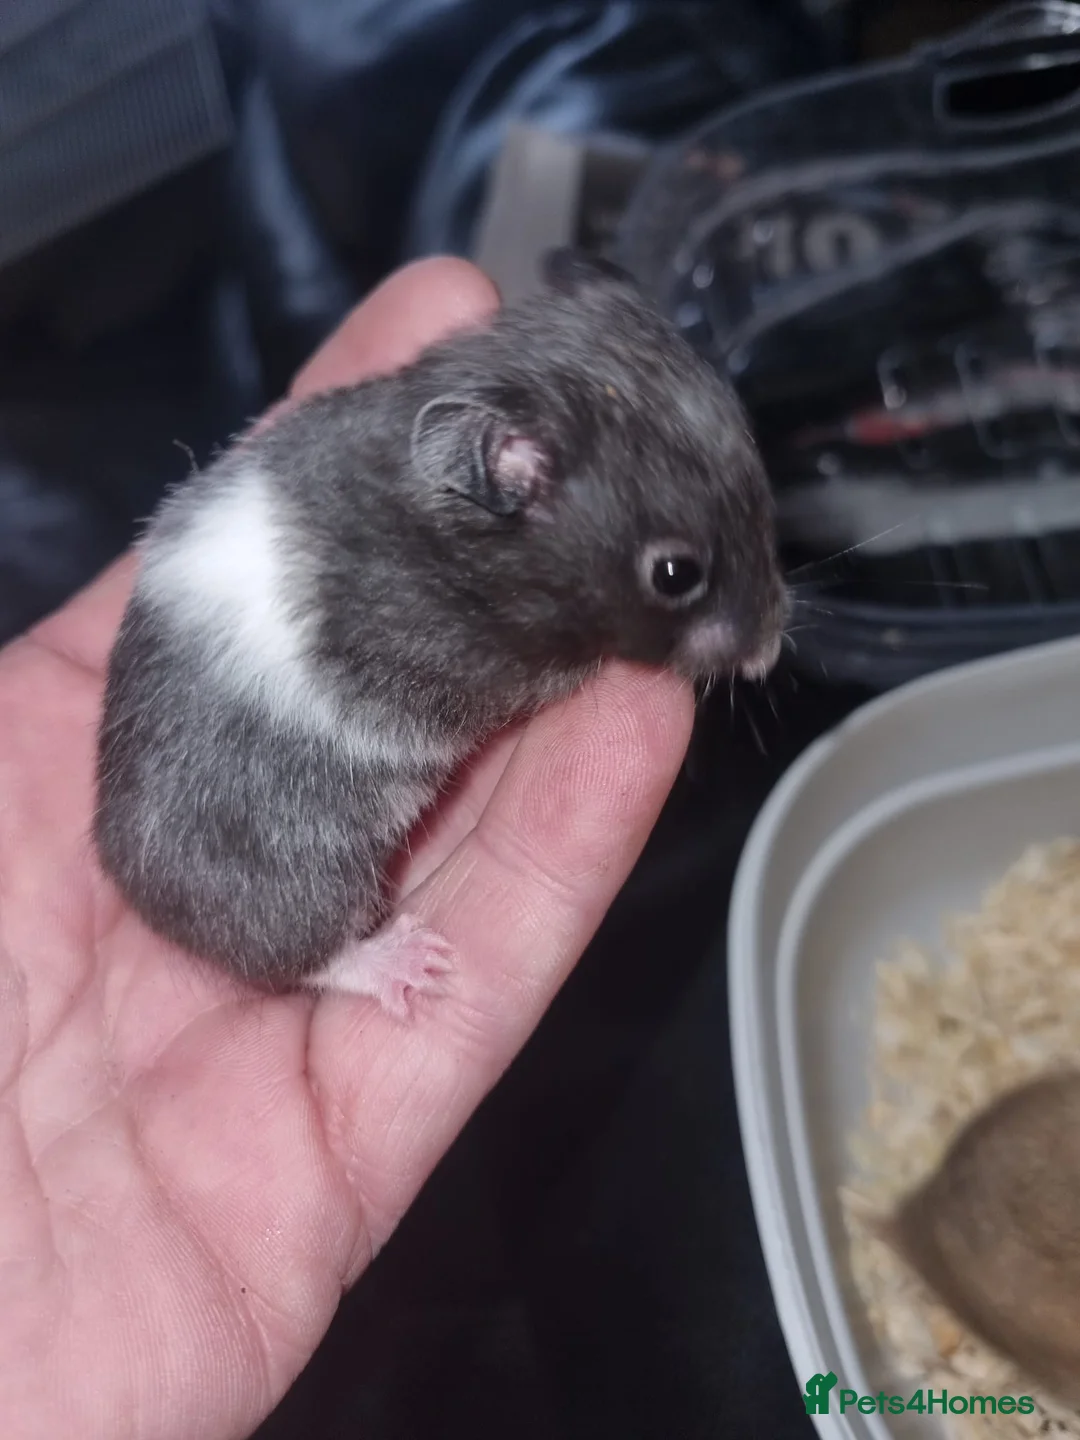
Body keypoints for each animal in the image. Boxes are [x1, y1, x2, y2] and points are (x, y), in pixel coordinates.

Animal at [93, 247, 788, 1017]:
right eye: (674, 573)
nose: (770, 650)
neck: (457, 540)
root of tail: (134, 894)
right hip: (297, 874)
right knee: (307, 954)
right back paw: (409, 964)